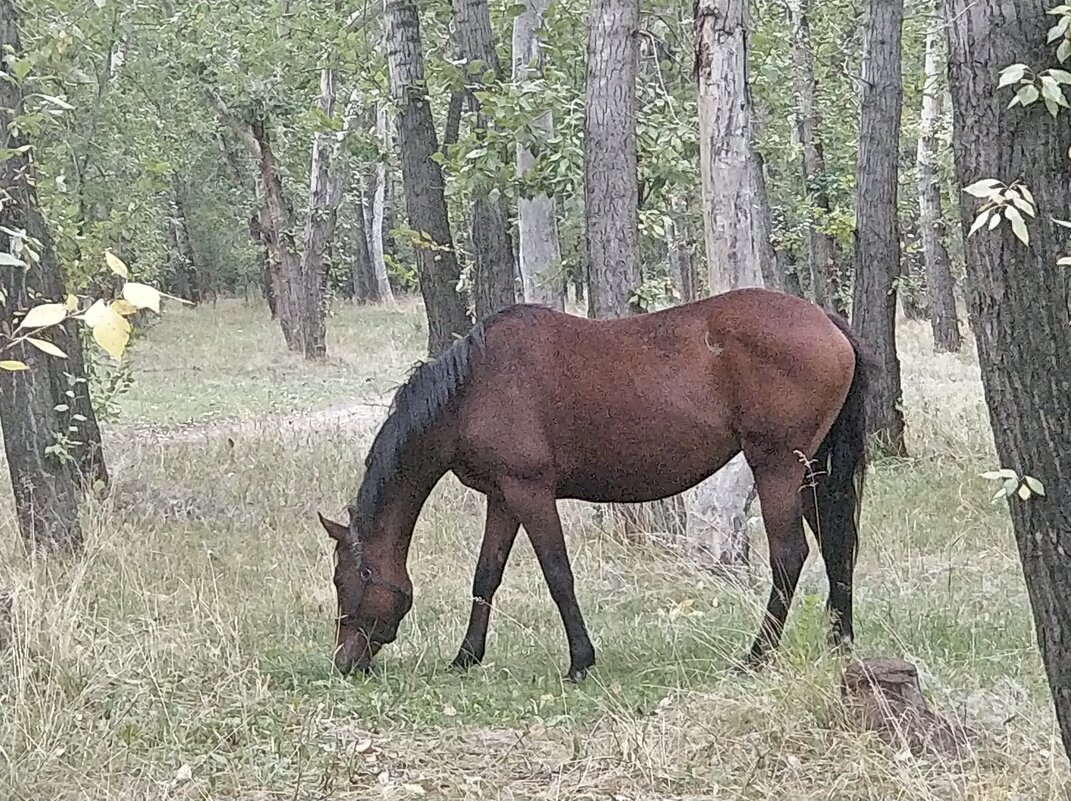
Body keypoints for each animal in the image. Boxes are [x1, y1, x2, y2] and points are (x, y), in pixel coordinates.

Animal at [317, 286, 869, 681]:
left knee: (790, 556)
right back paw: (839, 643)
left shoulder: (530, 493)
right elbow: (485, 576)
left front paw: (580, 660)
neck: (472, 389)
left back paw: (756, 655)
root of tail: (829, 321)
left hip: (776, 466)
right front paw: (466, 656)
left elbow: (558, 575)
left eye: (344, 581)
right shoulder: (502, 498)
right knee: (836, 544)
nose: (345, 662)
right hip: (812, 470)